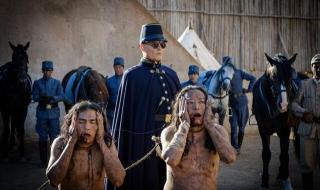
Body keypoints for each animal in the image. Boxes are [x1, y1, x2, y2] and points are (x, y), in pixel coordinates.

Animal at [252, 52, 298, 189]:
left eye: (290, 77)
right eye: (273, 77)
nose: (283, 105)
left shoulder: (285, 129)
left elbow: (284, 154)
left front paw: (286, 179)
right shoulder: (263, 129)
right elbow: (266, 154)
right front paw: (264, 181)